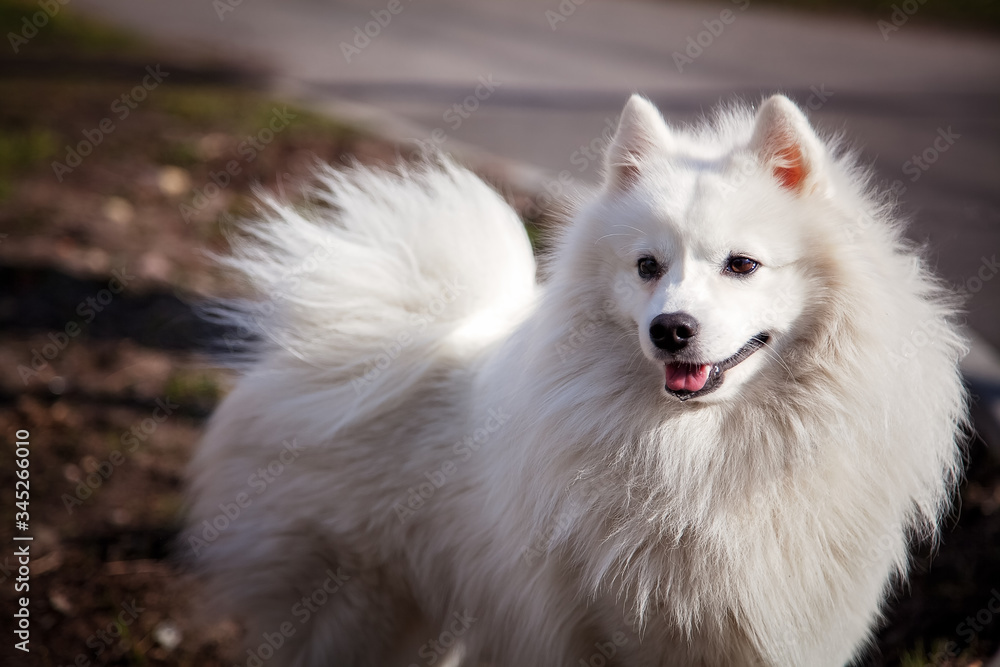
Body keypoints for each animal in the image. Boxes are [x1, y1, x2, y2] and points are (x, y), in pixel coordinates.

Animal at [186, 95, 968, 667]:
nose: (670, 329)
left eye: (741, 265)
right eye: (648, 266)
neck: (706, 453)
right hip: (355, 610)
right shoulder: (617, 628)